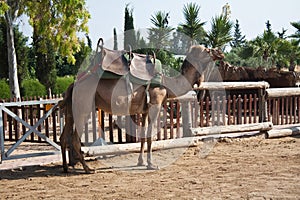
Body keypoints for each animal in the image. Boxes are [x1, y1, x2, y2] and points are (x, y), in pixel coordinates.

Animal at [58, 44, 224, 173]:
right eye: (207, 50)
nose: (220, 52)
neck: (167, 84)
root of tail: (73, 84)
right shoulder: (155, 104)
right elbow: (150, 136)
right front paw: (151, 164)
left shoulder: (144, 110)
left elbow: (143, 136)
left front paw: (141, 161)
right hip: (83, 108)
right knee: (75, 139)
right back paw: (88, 169)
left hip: (72, 110)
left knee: (63, 137)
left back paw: (66, 167)